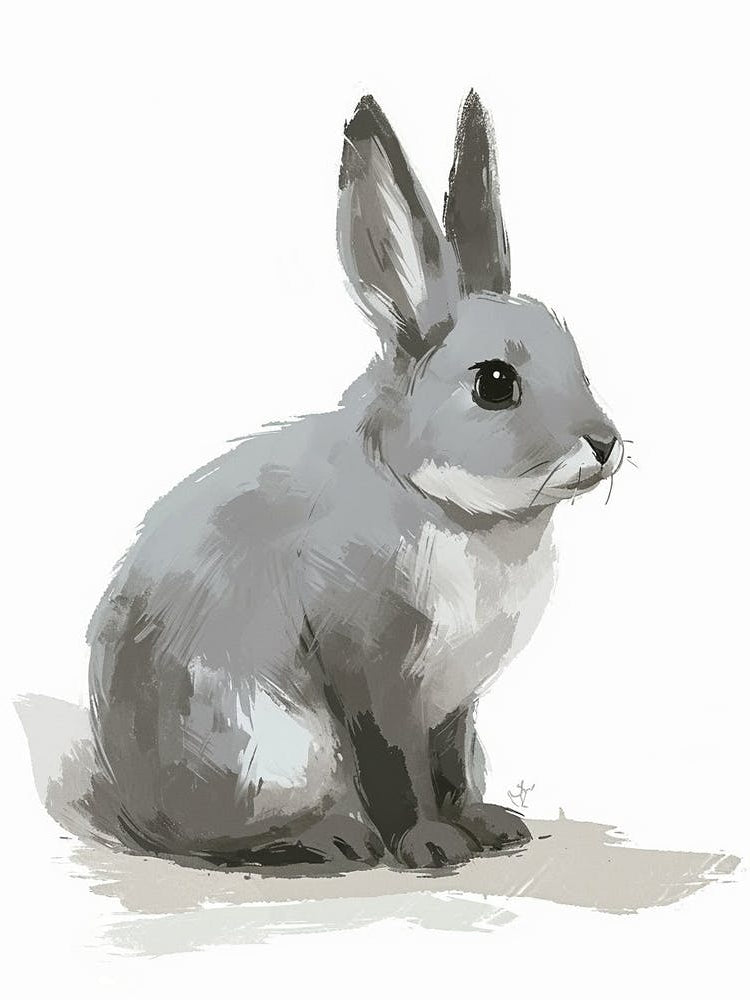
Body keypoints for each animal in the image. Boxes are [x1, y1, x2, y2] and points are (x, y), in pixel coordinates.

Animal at [85, 90, 623, 870]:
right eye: (495, 383)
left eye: (576, 357)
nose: (607, 444)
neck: (439, 500)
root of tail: (129, 798)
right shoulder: (372, 667)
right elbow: (397, 766)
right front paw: (431, 845)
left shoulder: (454, 705)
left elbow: (451, 766)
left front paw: (487, 827)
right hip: (266, 751)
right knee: (227, 839)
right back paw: (331, 837)